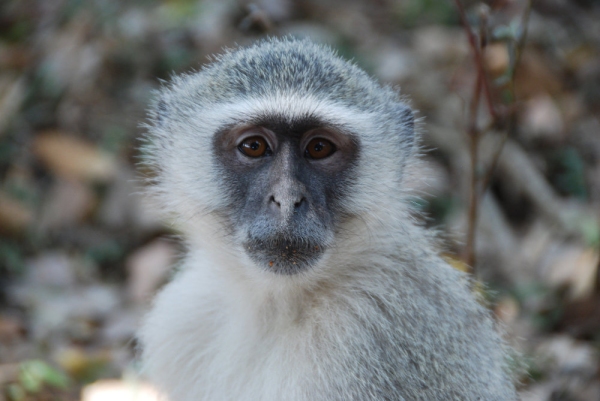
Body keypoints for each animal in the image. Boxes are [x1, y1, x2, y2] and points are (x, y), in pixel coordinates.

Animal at [138, 37, 516, 400]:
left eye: (319, 148)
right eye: (254, 146)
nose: (287, 200)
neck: (275, 303)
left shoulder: (364, 335)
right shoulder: (185, 315)